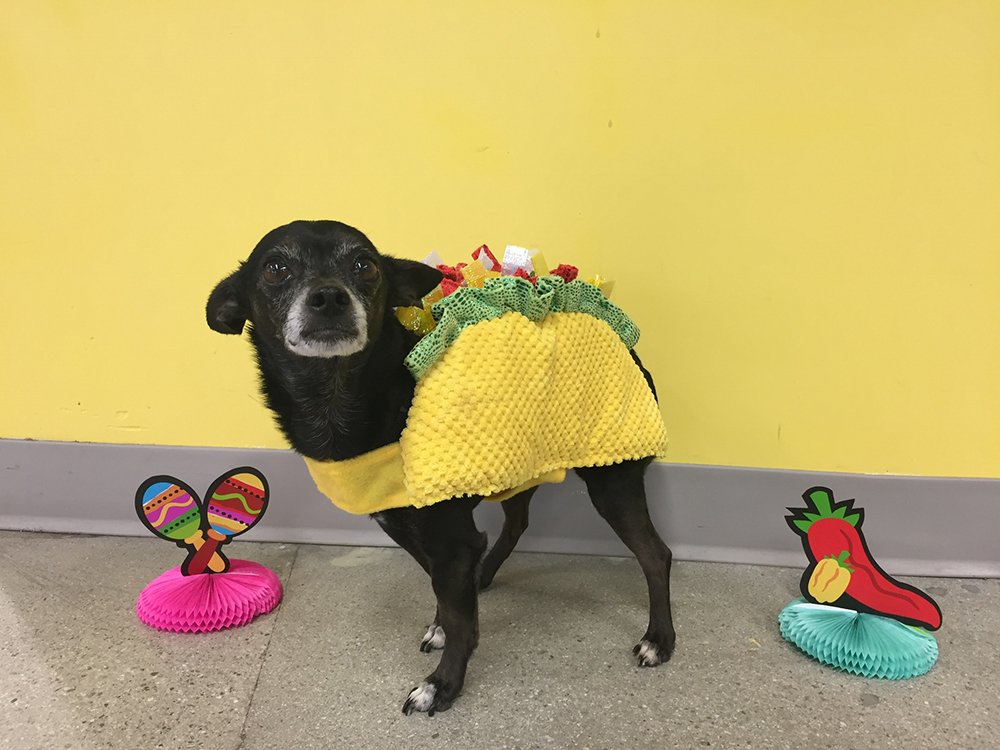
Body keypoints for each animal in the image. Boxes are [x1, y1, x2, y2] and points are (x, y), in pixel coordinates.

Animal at [207, 219, 676, 716]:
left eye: (365, 265)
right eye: (274, 269)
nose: (329, 296)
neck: (341, 394)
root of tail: (623, 341)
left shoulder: (450, 541)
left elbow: (457, 616)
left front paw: (443, 684)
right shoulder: (407, 528)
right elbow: (444, 596)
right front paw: (444, 628)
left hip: (613, 478)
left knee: (656, 554)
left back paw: (659, 639)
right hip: (519, 462)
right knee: (517, 523)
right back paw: (484, 576)